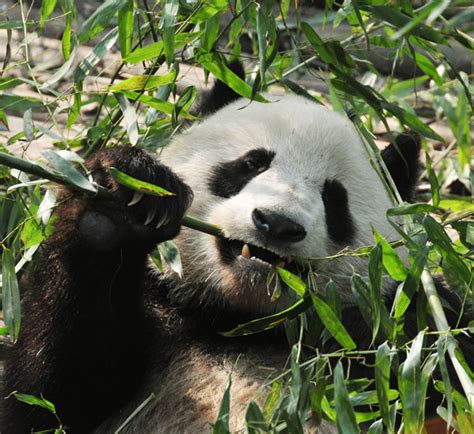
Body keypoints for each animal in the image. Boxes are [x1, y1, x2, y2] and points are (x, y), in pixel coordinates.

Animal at [0, 76, 470, 432]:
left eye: (335, 199)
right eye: (251, 164)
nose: (276, 223)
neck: (241, 323)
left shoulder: (401, 331)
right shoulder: (157, 308)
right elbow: (46, 396)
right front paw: (120, 202)